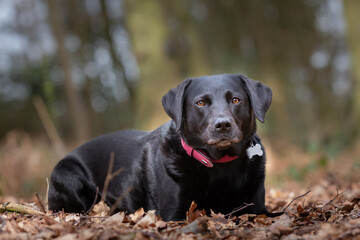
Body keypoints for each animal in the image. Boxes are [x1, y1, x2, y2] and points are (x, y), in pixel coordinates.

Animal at [47, 73, 280, 221]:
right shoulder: (174, 213)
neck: (220, 163)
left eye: (236, 100)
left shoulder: (257, 207)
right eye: (200, 103)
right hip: (69, 176)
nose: (222, 125)